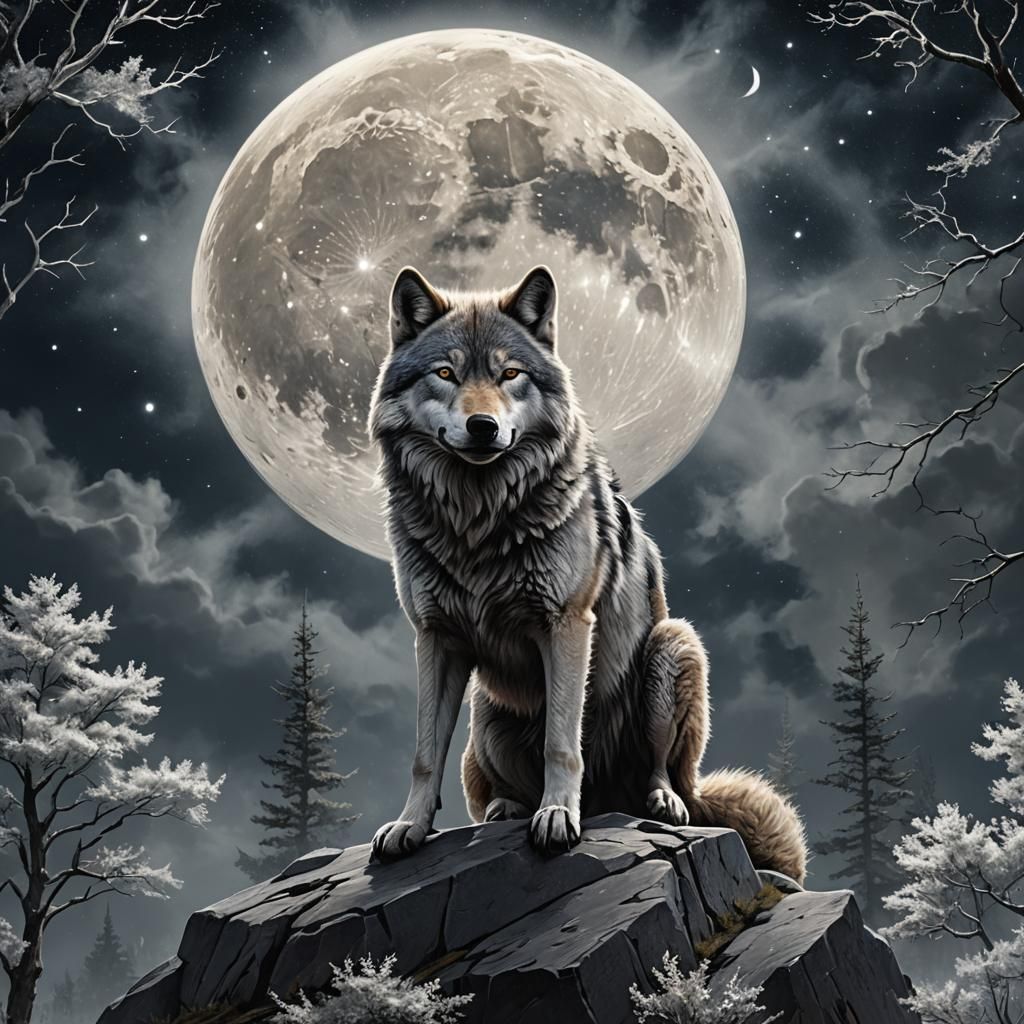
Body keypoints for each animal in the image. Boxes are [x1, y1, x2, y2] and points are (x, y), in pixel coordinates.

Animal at [366, 265, 807, 882]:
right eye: (446, 373)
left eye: (509, 373)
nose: (483, 426)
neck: (478, 519)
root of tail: (608, 800)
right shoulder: (434, 638)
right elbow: (424, 753)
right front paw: (409, 826)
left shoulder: (568, 624)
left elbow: (561, 739)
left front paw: (556, 817)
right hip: (485, 716)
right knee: (494, 786)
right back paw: (507, 807)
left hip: (672, 649)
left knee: (662, 773)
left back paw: (656, 801)